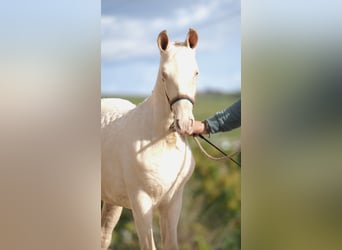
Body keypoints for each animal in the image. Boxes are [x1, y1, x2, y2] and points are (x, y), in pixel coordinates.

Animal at [100, 28, 199, 249]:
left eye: (196, 72)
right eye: (164, 74)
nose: (185, 123)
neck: (161, 142)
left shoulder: (172, 204)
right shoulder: (141, 204)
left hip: (111, 200)